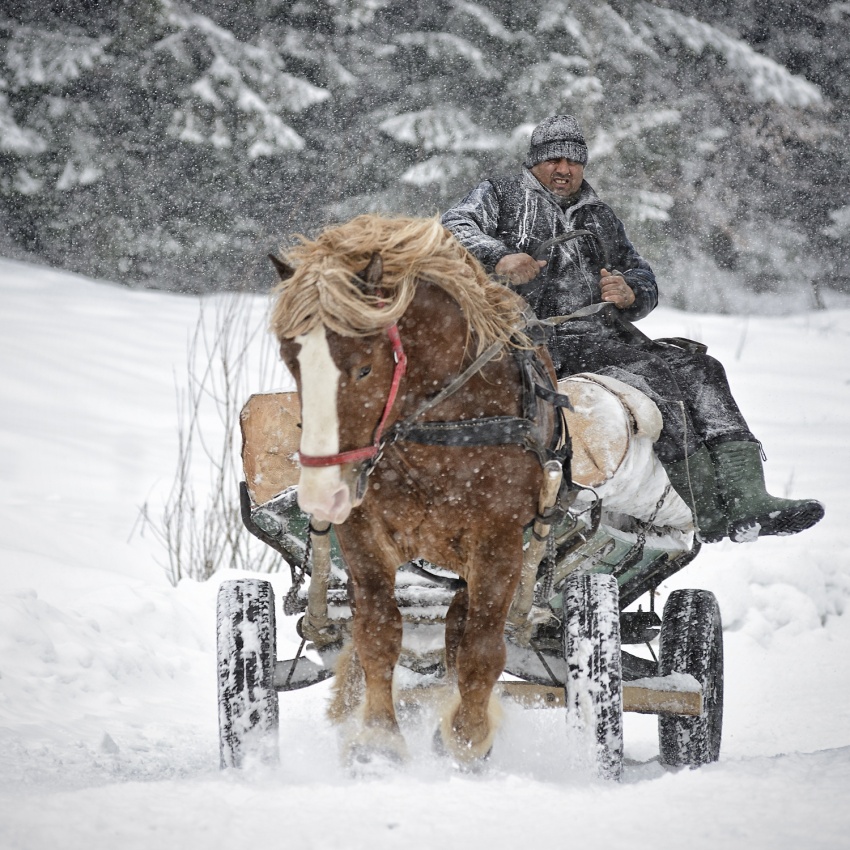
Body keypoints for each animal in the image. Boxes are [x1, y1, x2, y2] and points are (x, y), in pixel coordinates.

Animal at [270, 212, 564, 760]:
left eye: (364, 367)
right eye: (292, 362)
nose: (321, 495)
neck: (438, 427)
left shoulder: (498, 541)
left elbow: (483, 650)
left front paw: (467, 739)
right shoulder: (362, 531)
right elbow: (377, 632)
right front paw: (377, 738)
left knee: (463, 629)